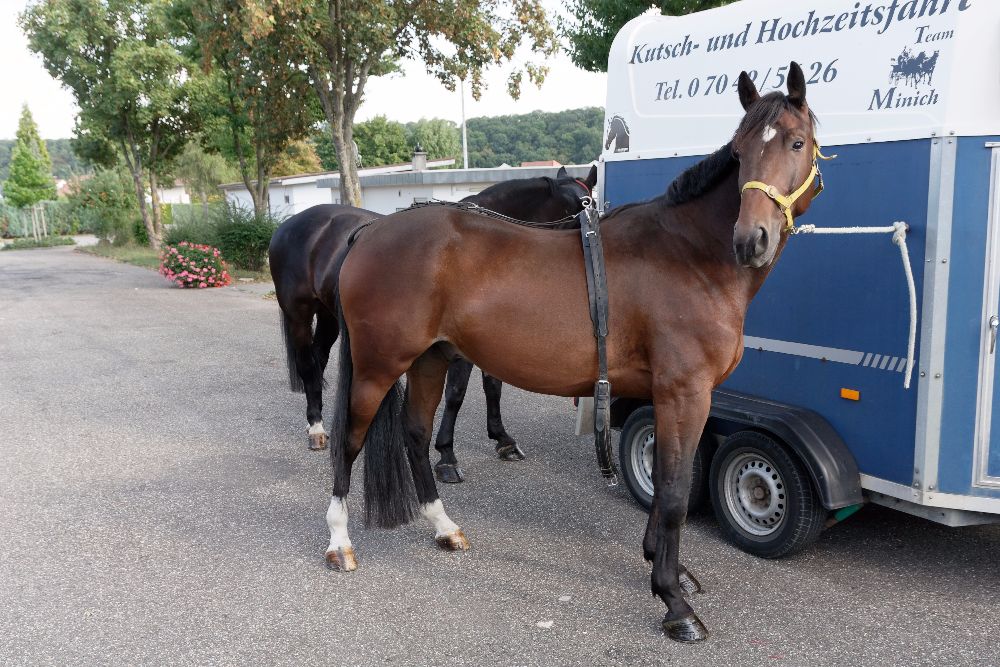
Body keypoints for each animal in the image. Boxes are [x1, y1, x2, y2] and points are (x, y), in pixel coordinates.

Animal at [268, 165, 598, 458]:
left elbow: (493, 385)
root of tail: (292, 223)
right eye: (579, 208)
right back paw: (316, 428)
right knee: (307, 364)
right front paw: (446, 452)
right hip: (299, 313)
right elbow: (456, 393)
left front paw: (502, 439)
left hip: (329, 317)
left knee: (318, 358)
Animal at [325, 62, 823, 643]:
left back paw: (445, 528)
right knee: (350, 440)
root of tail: (371, 230)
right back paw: (340, 542)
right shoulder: (685, 392)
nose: (751, 239)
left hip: (431, 359)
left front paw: (666, 568)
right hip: (379, 365)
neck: (691, 256)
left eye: (796, 142)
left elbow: (665, 488)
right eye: (740, 152)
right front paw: (674, 601)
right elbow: (675, 493)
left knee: (416, 434)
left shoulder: (672, 397)